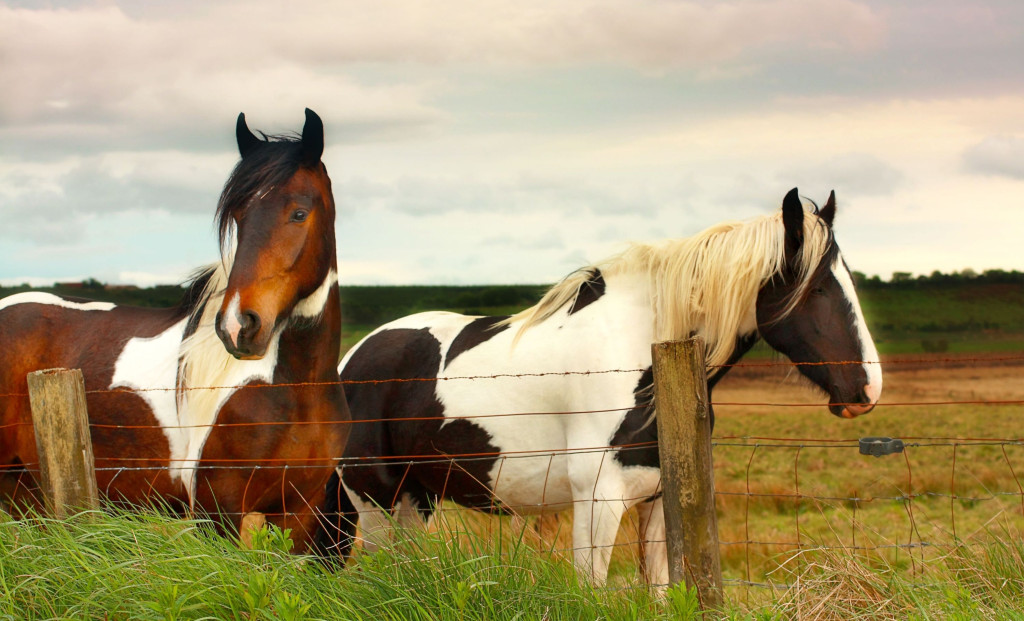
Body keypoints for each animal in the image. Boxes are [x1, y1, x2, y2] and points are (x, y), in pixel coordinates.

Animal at [0, 108, 350, 553]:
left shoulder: (300, 511)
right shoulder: (217, 510)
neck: (299, 387)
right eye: (239, 218)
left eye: (299, 213)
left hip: (25, 492)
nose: (238, 325)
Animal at [319, 187, 880, 586]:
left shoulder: (658, 502)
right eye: (818, 287)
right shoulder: (598, 501)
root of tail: (351, 360)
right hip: (374, 499)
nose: (866, 389)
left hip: (416, 499)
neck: (639, 353)